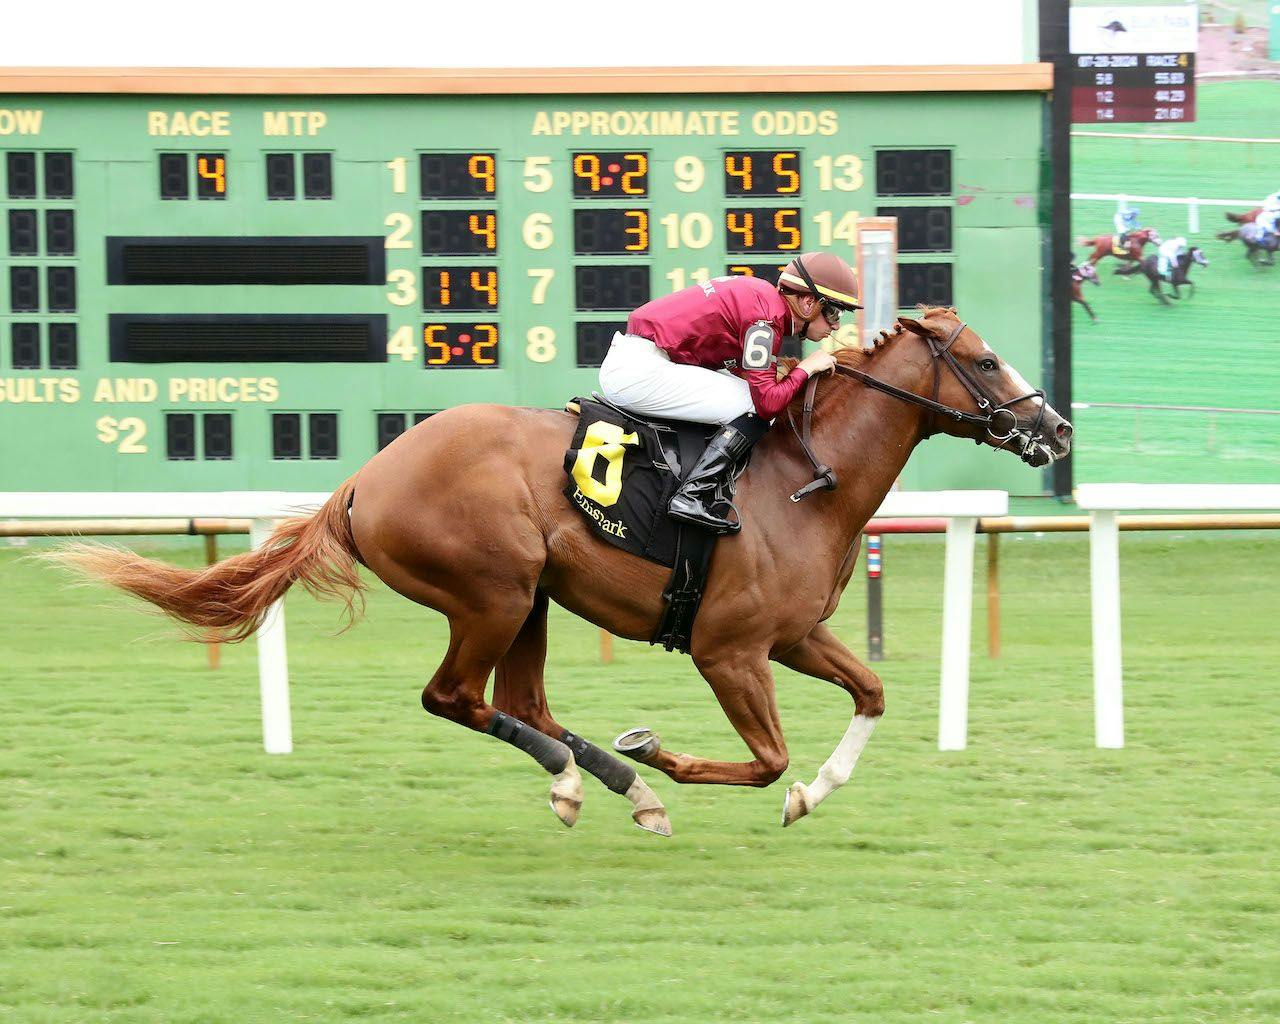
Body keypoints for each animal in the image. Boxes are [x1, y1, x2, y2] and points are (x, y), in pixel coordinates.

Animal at [45, 308, 1070, 834]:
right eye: (986, 361)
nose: (1056, 429)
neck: (800, 481)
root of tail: (366, 478)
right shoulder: (729, 650)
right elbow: (765, 756)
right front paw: (668, 755)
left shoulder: (793, 635)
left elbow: (871, 694)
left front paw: (809, 792)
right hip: (491, 591)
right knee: (457, 698)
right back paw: (597, 780)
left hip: (532, 594)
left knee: (522, 703)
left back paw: (613, 782)